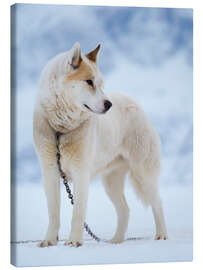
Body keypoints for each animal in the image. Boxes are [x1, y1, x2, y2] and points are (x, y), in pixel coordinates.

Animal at [33, 42, 168, 247]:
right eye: (89, 82)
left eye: (101, 84)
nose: (109, 104)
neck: (61, 129)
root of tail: (135, 103)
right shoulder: (50, 173)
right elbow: (53, 214)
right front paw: (49, 241)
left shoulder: (81, 173)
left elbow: (77, 214)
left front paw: (74, 242)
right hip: (111, 182)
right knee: (125, 210)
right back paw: (116, 241)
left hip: (143, 174)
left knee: (157, 203)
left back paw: (161, 236)